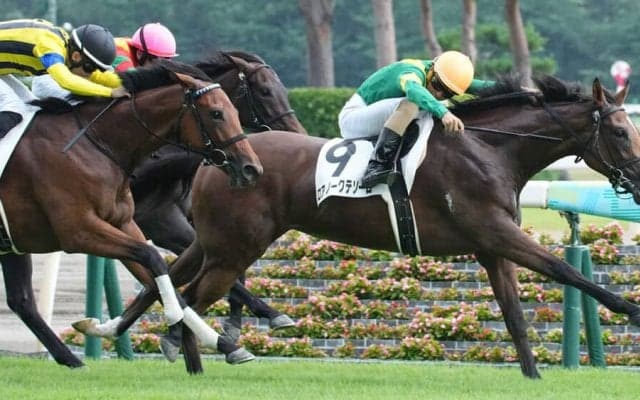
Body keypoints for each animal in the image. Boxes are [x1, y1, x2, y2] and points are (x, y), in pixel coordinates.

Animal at [0, 59, 262, 369]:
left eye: (235, 110)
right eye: (217, 113)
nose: (251, 168)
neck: (96, 145)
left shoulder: (124, 223)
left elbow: (157, 276)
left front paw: (214, 345)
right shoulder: (79, 231)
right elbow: (153, 259)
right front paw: (177, 327)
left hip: (13, 245)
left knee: (21, 301)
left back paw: (71, 360)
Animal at [81, 75, 640, 377]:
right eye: (619, 131)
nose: (637, 177)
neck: (489, 148)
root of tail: (215, 159)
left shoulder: (491, 247)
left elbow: (516, 317)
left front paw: (533, 375)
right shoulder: (497, 232)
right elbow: (567, 273)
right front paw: (631, 310)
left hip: (217, 242)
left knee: (170, 280)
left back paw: (125, 332)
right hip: (235, 250)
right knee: (190, 298)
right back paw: (194, 352)